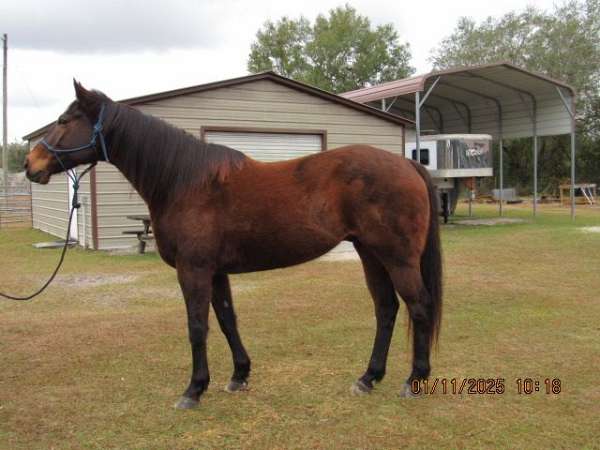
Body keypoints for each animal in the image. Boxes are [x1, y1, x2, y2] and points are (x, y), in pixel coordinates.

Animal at [24, 81, 440, 408]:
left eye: (65, 121)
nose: (31, 164)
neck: (183, 182)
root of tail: (407, 164)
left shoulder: (194, 270)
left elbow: (197, 326)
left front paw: (193, 390)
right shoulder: (215, 271)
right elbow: (226, 320)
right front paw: (239, 375)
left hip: (397, 257)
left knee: (418, 307)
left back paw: (414, 381)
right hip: (370, 253)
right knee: (386, 308)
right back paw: (368, 378)